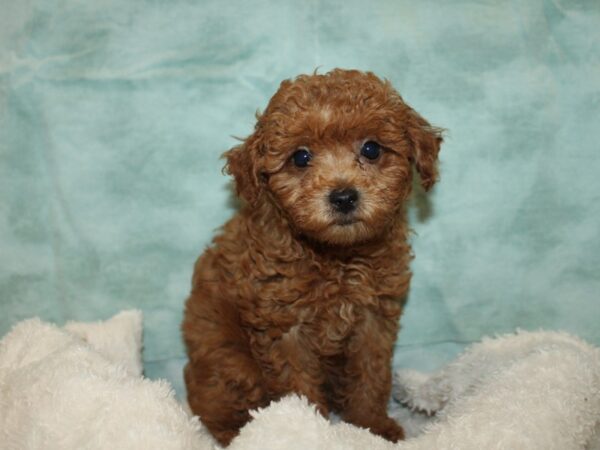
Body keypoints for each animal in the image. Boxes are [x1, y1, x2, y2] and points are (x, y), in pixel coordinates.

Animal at [182, 68, 440, 444]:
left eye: (372, 149)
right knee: (220, 410)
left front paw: (371, 426)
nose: (343, 197)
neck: (335, 257)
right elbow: (297, 384)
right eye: (301, 157)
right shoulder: (283, 327)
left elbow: (371, 375)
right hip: (230, 362)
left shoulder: (373, 320)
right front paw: (306, 429)